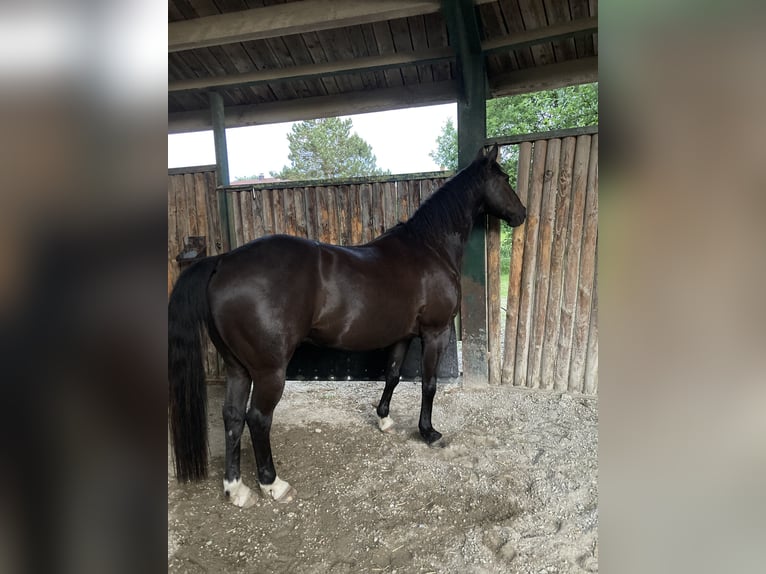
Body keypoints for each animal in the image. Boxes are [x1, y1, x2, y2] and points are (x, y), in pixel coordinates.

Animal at [168, 144, 526, 506]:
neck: (429, 248)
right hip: (269, 371)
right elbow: (429, 384)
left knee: (232, 416)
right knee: (257, 418)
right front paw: (428, 432)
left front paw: (385, 419)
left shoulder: (402, 335)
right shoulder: (434, 333)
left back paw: (236, 488)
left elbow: (393, 375)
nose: (522, 213)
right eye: (505, 179)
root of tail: (223, 262)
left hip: (237, 367)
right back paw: (272, 484)